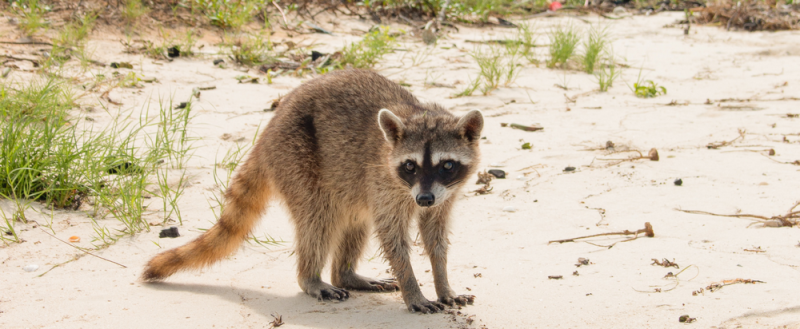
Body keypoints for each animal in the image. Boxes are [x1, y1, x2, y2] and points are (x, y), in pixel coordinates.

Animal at [143, 69, 482, 312]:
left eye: (447, 165)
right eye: (410, 165)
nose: (423, 199)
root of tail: (267, 133)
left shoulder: (444, 195)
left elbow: (436, 237)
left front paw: (443, 283)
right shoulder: (385, 181)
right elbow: (392, 237)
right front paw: (413, 287)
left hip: (345, 181)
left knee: (355, 222)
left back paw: (346, 274)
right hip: (297, 159)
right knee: (318, 221)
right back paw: (311, 277)